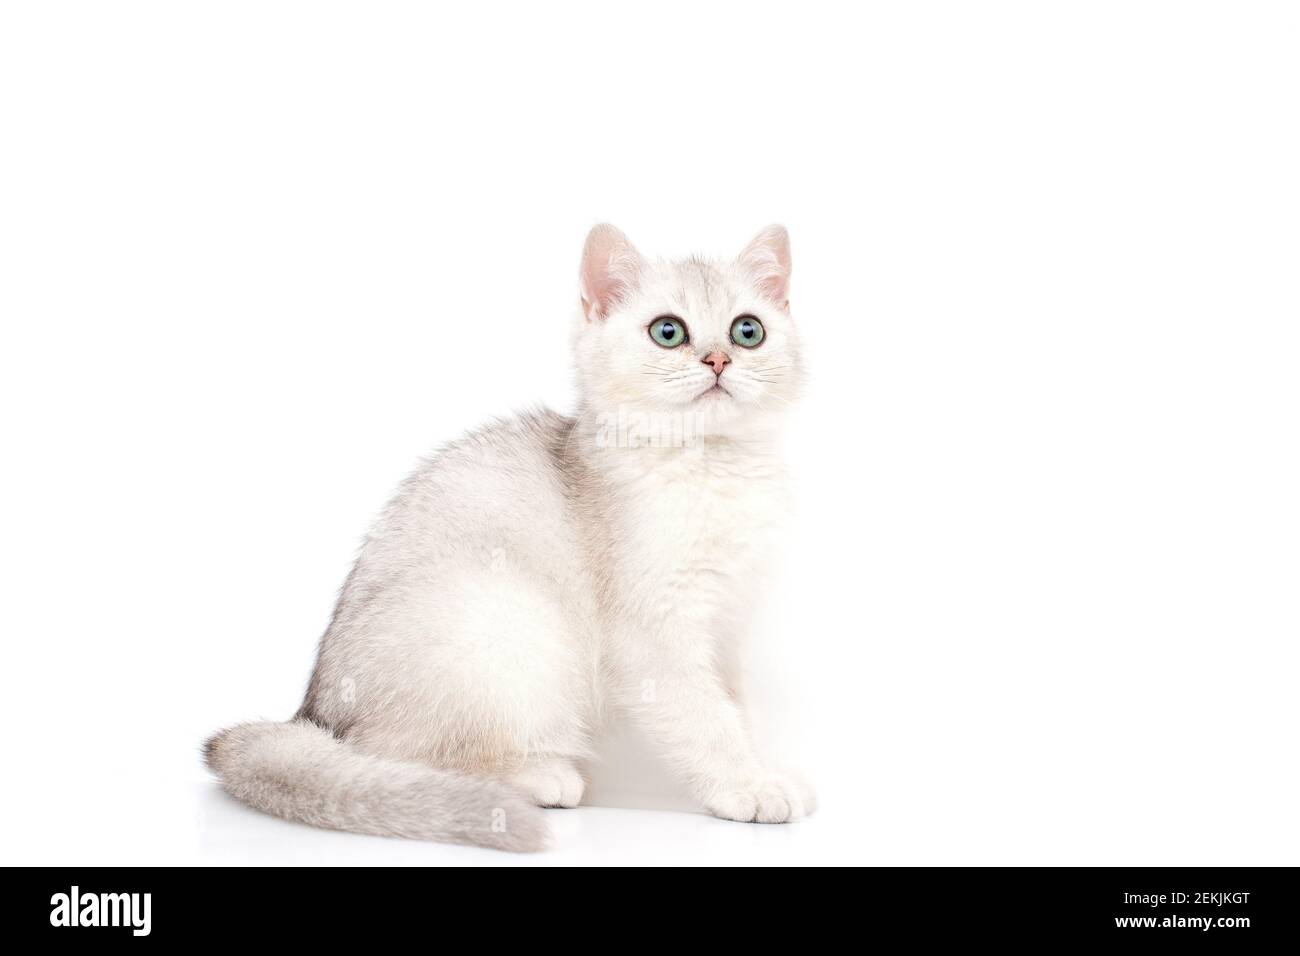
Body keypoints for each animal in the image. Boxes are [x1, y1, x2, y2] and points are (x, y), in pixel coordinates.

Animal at [202, 226, 811, 853]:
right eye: (668, 332)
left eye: (748, 330)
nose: (718, 358)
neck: (713, 465)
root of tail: (310, 714)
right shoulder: (653, 630)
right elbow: (705, 719)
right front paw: (746, 785)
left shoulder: (728, 623)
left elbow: (735, 708)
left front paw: (758, 768)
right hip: (512, 620)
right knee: (386, 752)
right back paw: (538, 775)